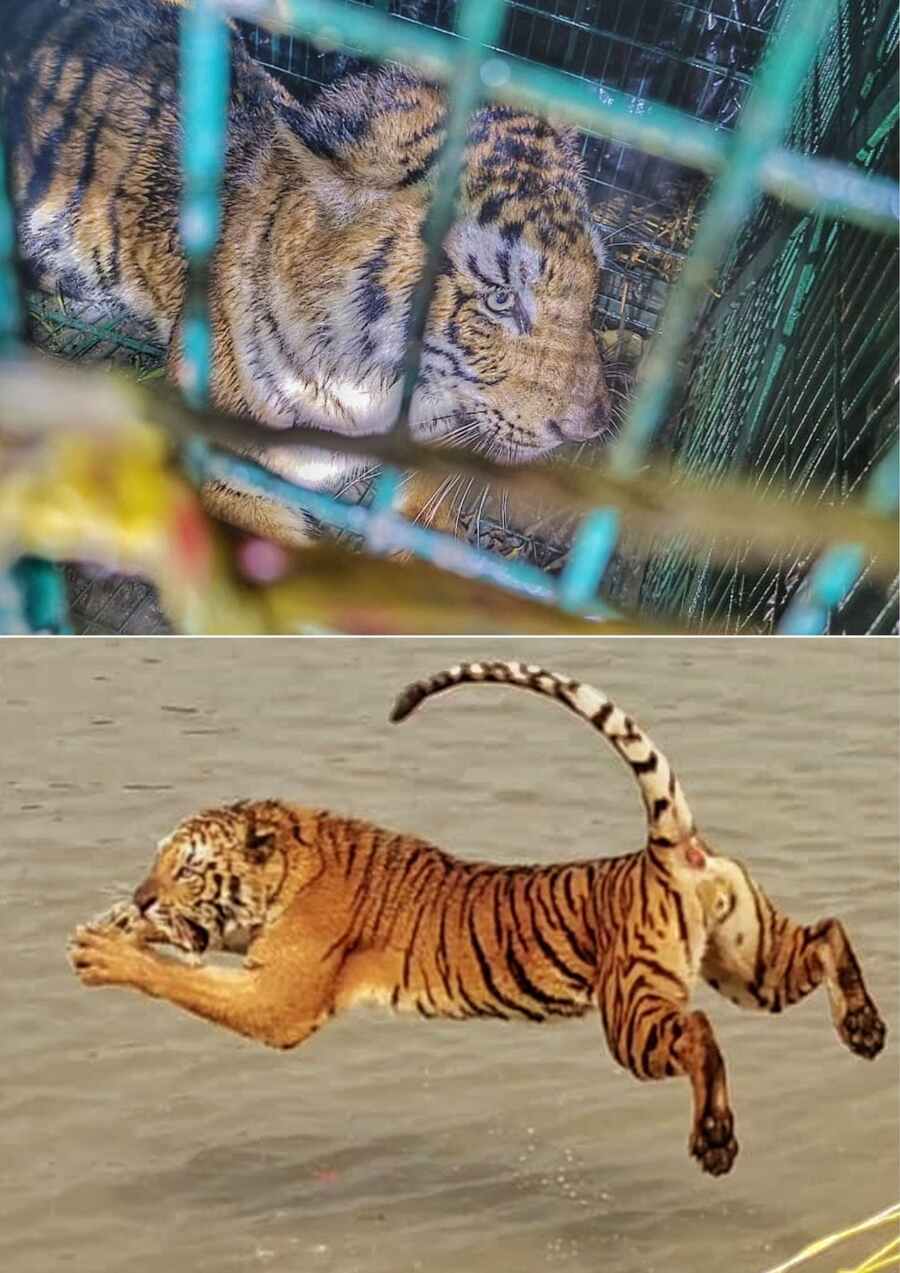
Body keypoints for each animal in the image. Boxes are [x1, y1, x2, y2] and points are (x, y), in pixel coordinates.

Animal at [68, 659, 886, 1178]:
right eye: (157, 862)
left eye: (185, 867)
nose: (142, 895)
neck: (290, 862)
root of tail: (666, 846)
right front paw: (115, 925)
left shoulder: (280, 1002)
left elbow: (180, 980)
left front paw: (101, 951)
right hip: (752, 964)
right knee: (831, 931)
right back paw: (865, 1029)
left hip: (635, 1013)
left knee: (700, 1033)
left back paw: (715, 1140)